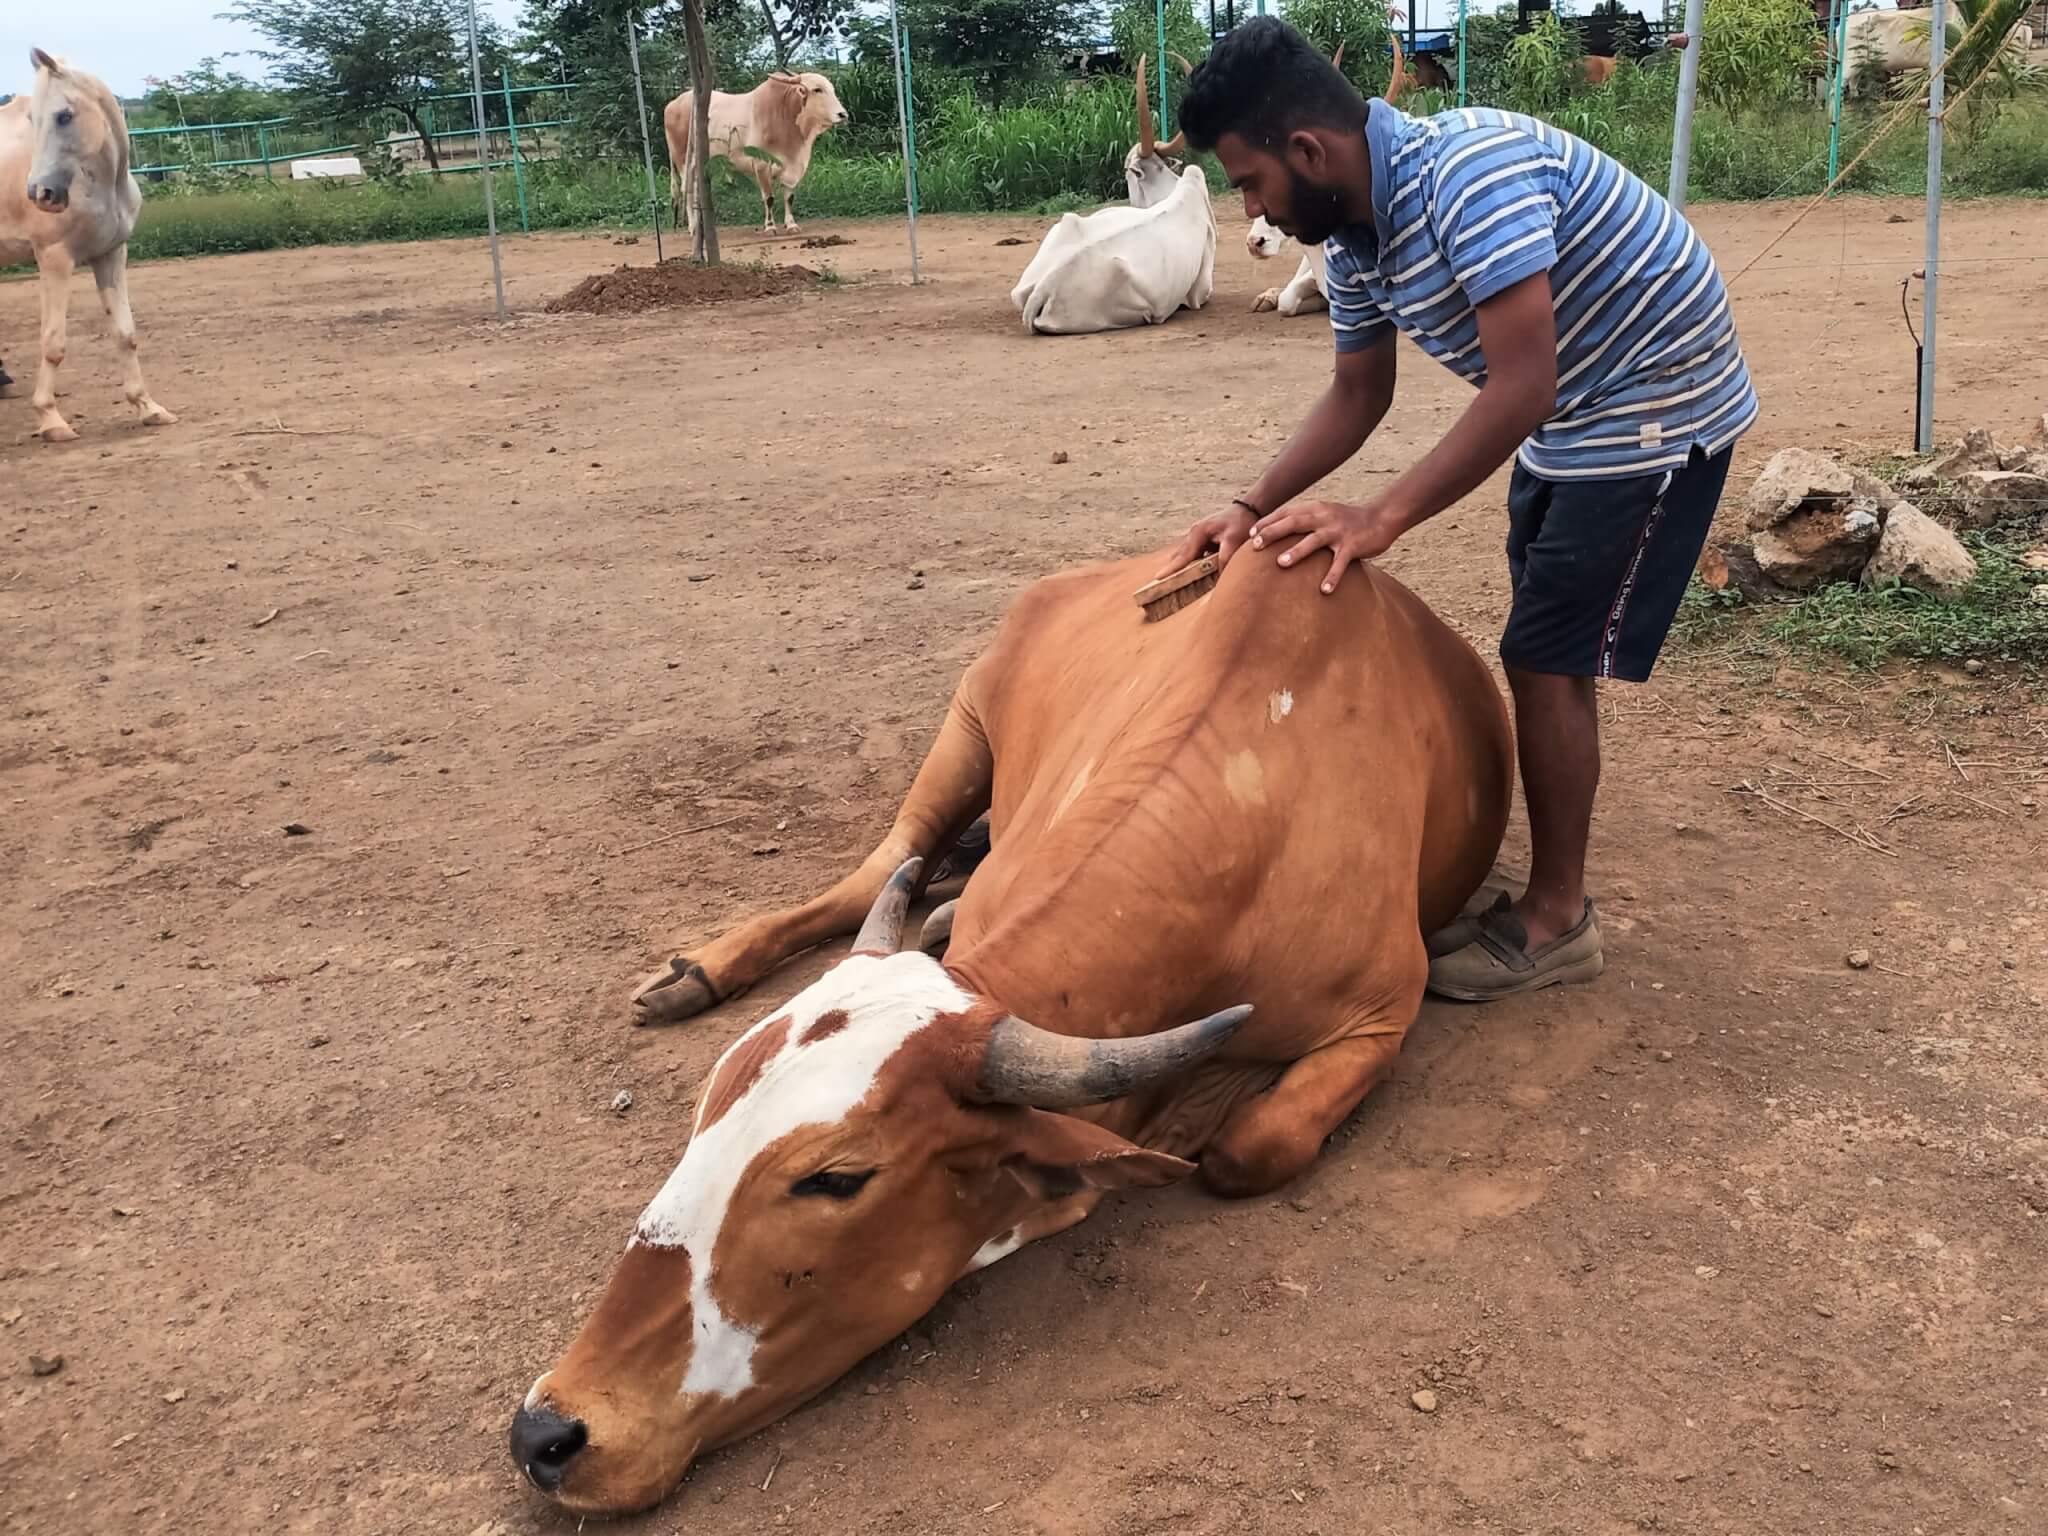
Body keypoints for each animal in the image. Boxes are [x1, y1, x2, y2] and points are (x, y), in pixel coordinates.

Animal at [2, 48, 176, 442]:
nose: (40, 193)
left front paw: (148, 408)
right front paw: (51, 420)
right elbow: (53, 343)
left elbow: (125, 334)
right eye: (33, 118)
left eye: (64, 116)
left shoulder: (111, 254)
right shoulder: (55, 259)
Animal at [509, 548, 1507, 1515]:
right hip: (966, 722)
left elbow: (1247, 1148)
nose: (548, 1434)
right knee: (881, 864)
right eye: (702, 1112)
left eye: (835, 1179)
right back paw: (704, 971)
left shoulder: (1383, 1015)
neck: (1252, 838)